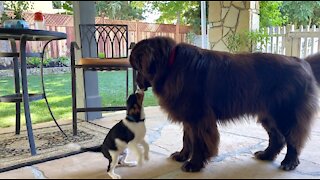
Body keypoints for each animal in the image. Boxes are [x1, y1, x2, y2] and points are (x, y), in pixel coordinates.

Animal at [129, 35, 320, 172]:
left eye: (137, 67)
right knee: (277, 137)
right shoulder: (189, 115)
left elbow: (198, 141)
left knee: (293, 137)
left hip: (285, 113)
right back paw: (266, 155)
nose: (137, 83)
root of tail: (303, 62)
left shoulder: (199, 116)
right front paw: (182, 155)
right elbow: (187, 138)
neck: (170, 64)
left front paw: (194, 164)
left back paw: (289, 162)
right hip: (268, 114)